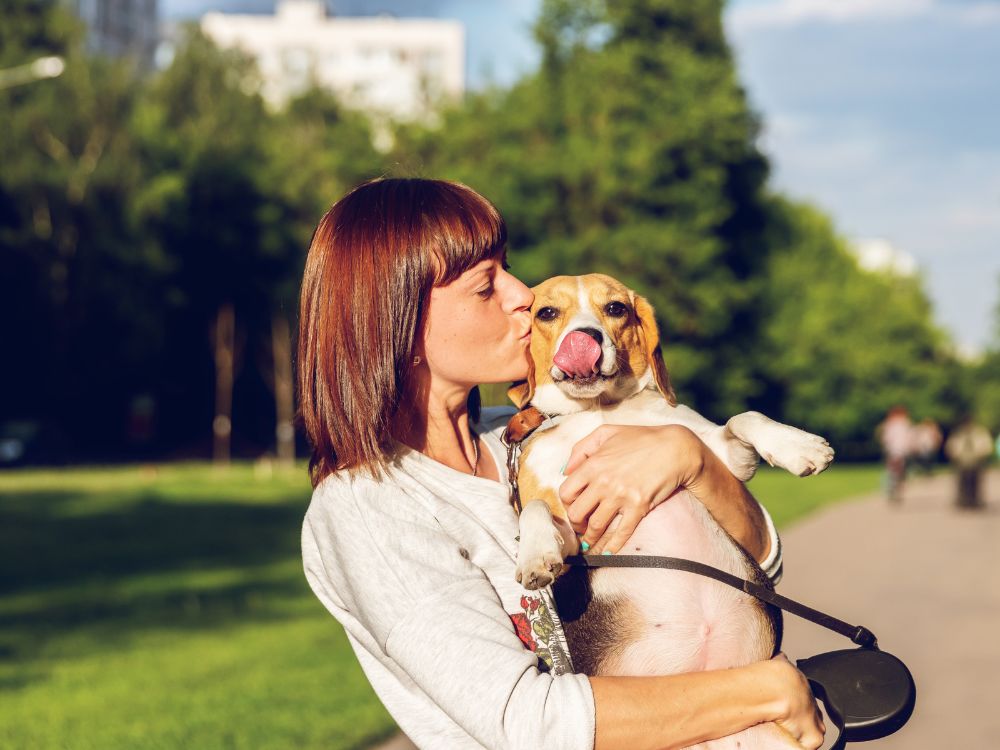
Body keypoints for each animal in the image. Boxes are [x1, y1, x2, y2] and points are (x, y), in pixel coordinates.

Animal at [512, 274, 832, 750]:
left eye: (616, 308)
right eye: (547, 312)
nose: (585, 339)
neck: (600, 411)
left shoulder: (721, 455)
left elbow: (744, 417)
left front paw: (799, 446)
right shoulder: (572, 534)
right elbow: (533, 508)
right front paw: (535, 556)